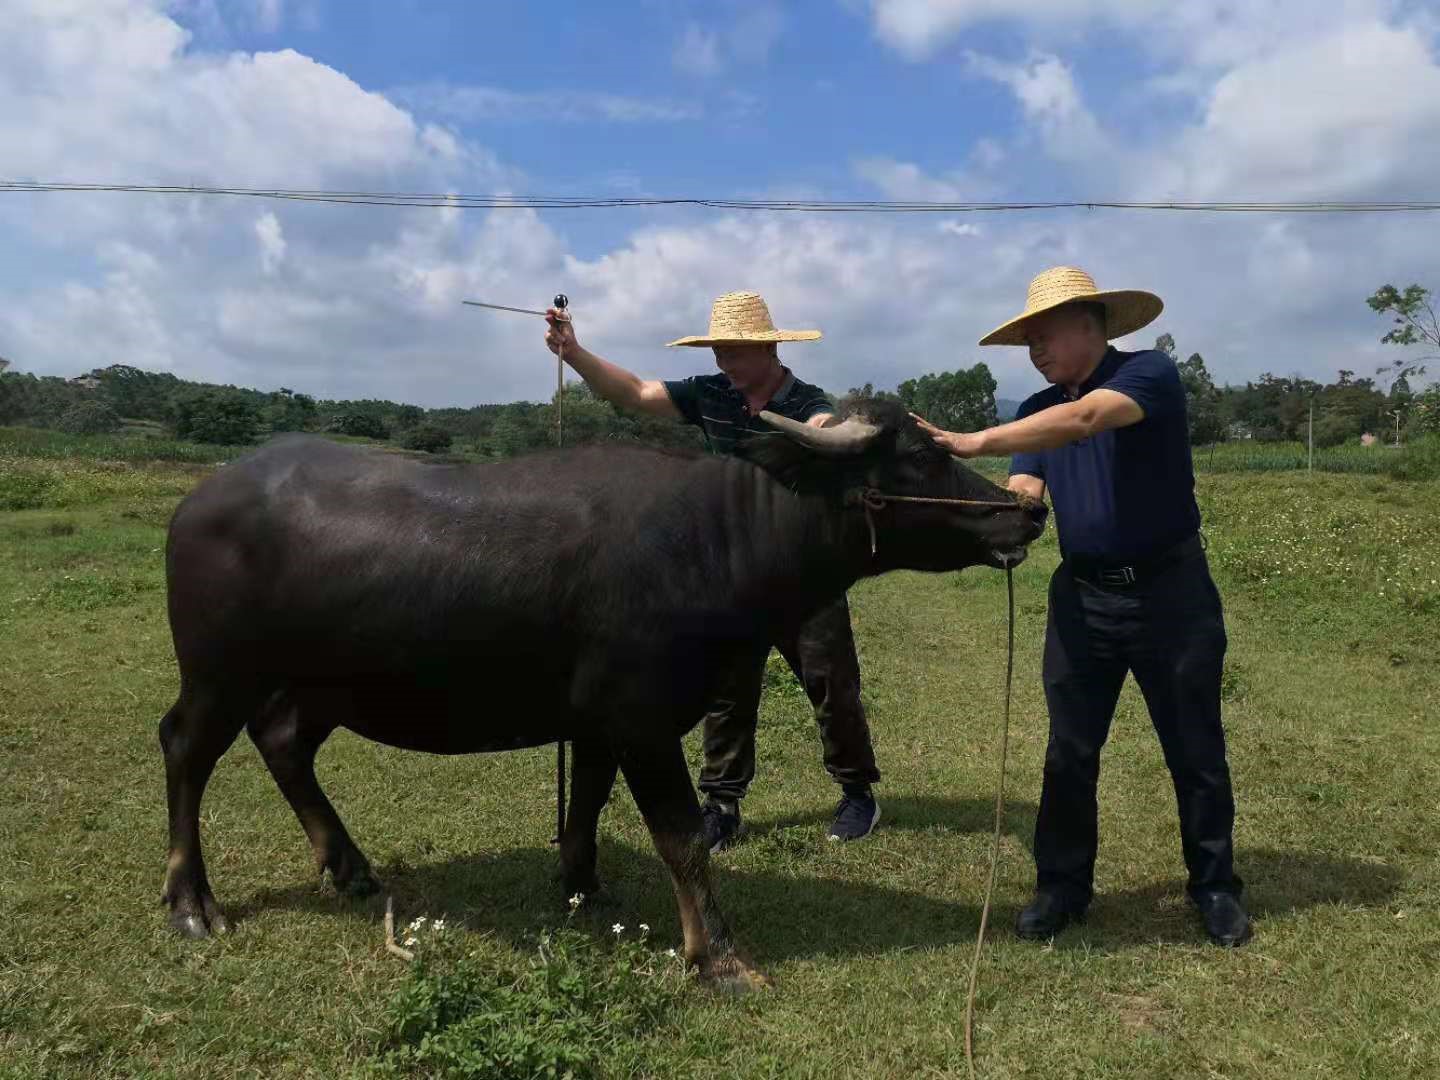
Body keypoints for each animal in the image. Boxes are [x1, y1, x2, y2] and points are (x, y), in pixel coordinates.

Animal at [157, 397, 1042, 990]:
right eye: (919, 457)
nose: (1026, 511)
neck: (719, 538)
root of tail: (199, 500)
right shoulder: (642, 719)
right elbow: (681, 836)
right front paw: (717, 956)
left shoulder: (596, 721)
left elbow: (585, 804)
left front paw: (582, 888)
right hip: (218, 673)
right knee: (186, 749)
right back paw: (191, 902)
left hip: (320, 683)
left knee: (282, 742)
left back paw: (348, 866)